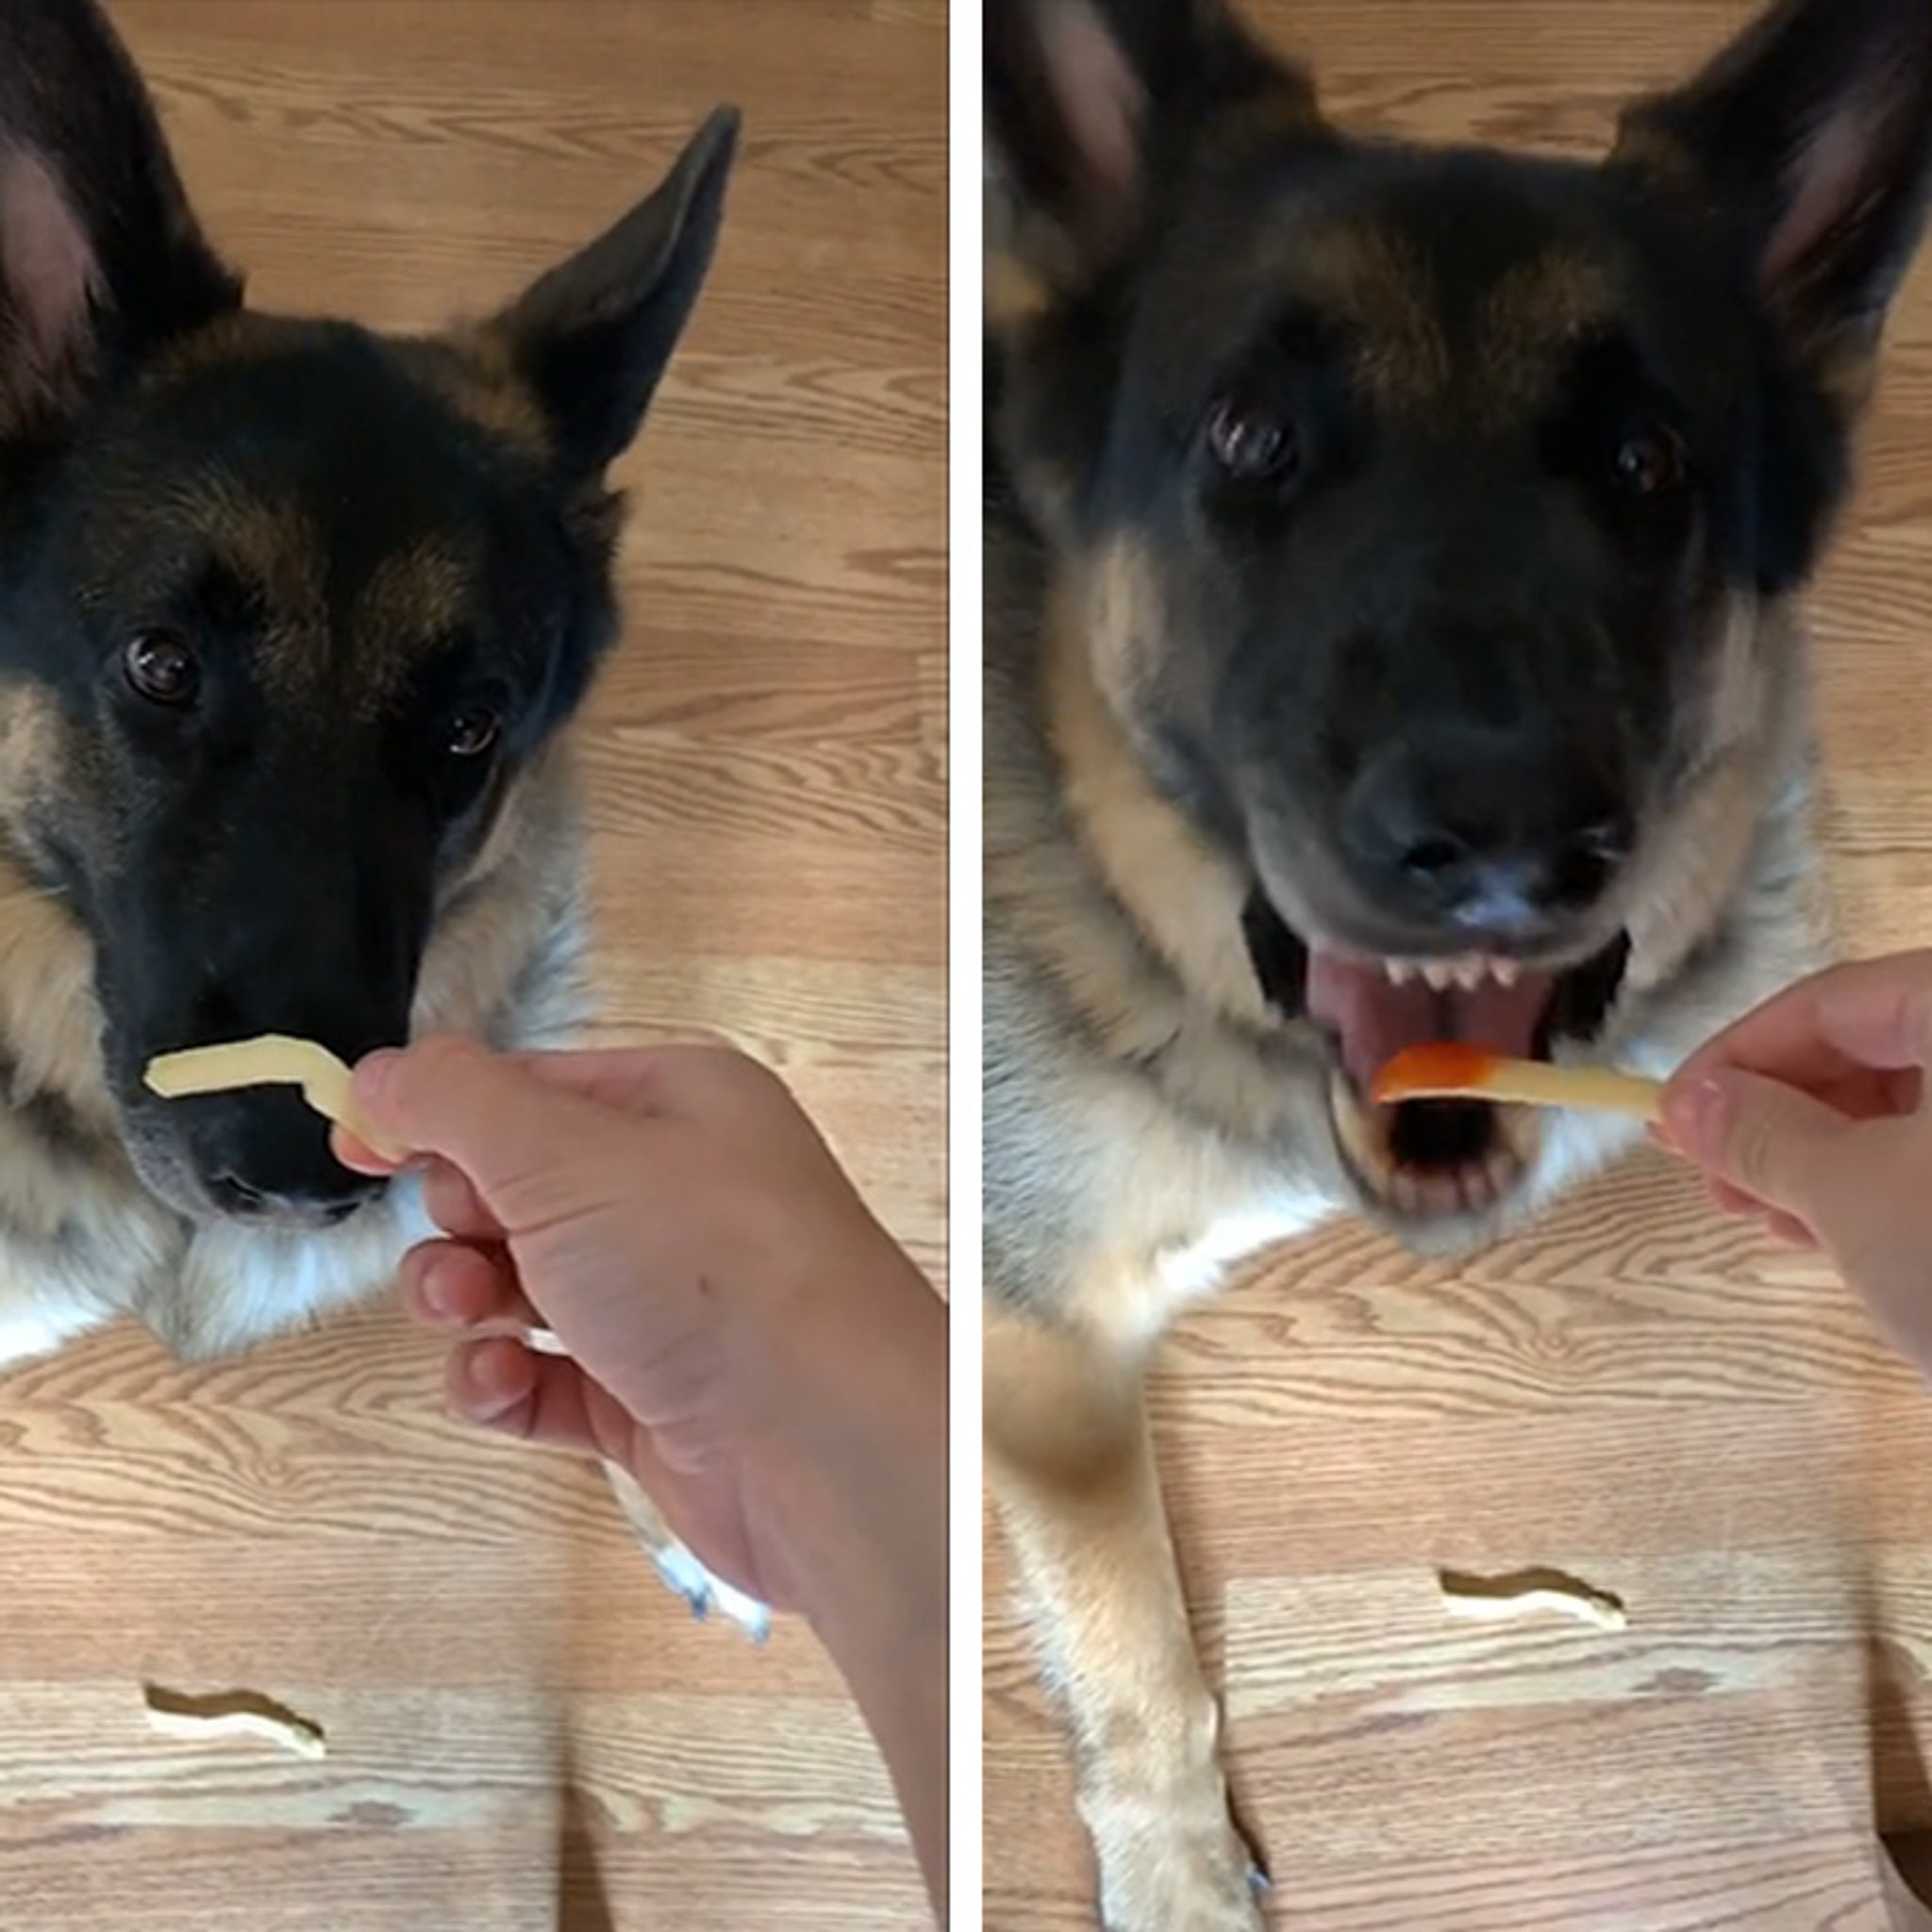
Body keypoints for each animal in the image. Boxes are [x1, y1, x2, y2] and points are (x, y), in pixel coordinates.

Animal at [989, 0, 1932, 1916]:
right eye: (1247, 438)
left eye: (1648, 464)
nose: (1502, 841)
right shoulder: (1034, 1337)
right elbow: (1134, 1647)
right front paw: (1175, 1867)